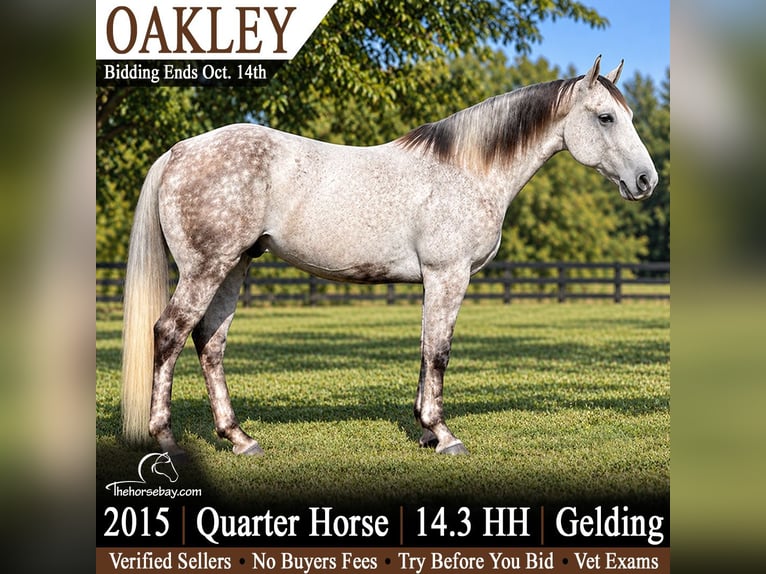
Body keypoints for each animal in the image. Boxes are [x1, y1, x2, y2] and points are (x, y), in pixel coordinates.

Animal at [121, 56, 658, 459]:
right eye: (605, 117)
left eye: (630, 116)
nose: (646, 181)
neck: (467, 170)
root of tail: (179, 151)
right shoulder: (448, 275)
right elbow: (439, 352)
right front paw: (444, 435)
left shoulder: (433, 281)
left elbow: (424, 350)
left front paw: (424, 431)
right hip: (205, 269)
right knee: (169, 334)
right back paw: (167, 439)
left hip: (234, 267)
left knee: (209, 343)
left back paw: (239, 439)